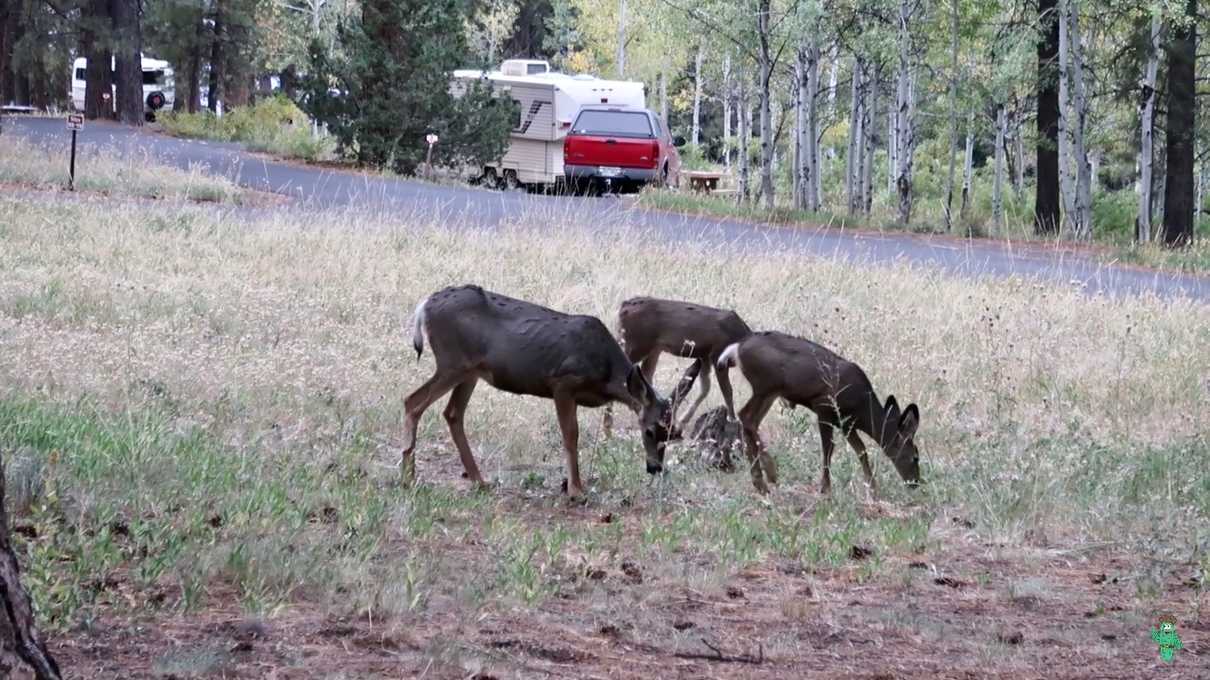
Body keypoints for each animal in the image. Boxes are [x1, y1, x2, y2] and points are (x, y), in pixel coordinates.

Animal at [404, 283, 692, 496]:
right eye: (649, 430)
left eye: (673, 433)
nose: (655, 468)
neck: (606, 374)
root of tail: (424, 305)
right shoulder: (563, 383)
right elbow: (570, 435)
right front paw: (576, 491)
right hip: (453, 361)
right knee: (412, 401)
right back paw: (409, 477)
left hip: (470, 370)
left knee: (452, 413)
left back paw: (479, 480)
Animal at [711, 331, 919, 496]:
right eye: (915, 456)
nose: (915, 482)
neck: (862, 408)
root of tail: (735, 348)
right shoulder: (824, 408)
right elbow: (828, 449)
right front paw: (825, 488)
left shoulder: (846, 423)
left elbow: (861, 450)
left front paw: (873, 489)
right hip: (765, 385)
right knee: (746, 416)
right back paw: (769, 474)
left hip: (769, 391)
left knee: (750, 420)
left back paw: (762, 481)